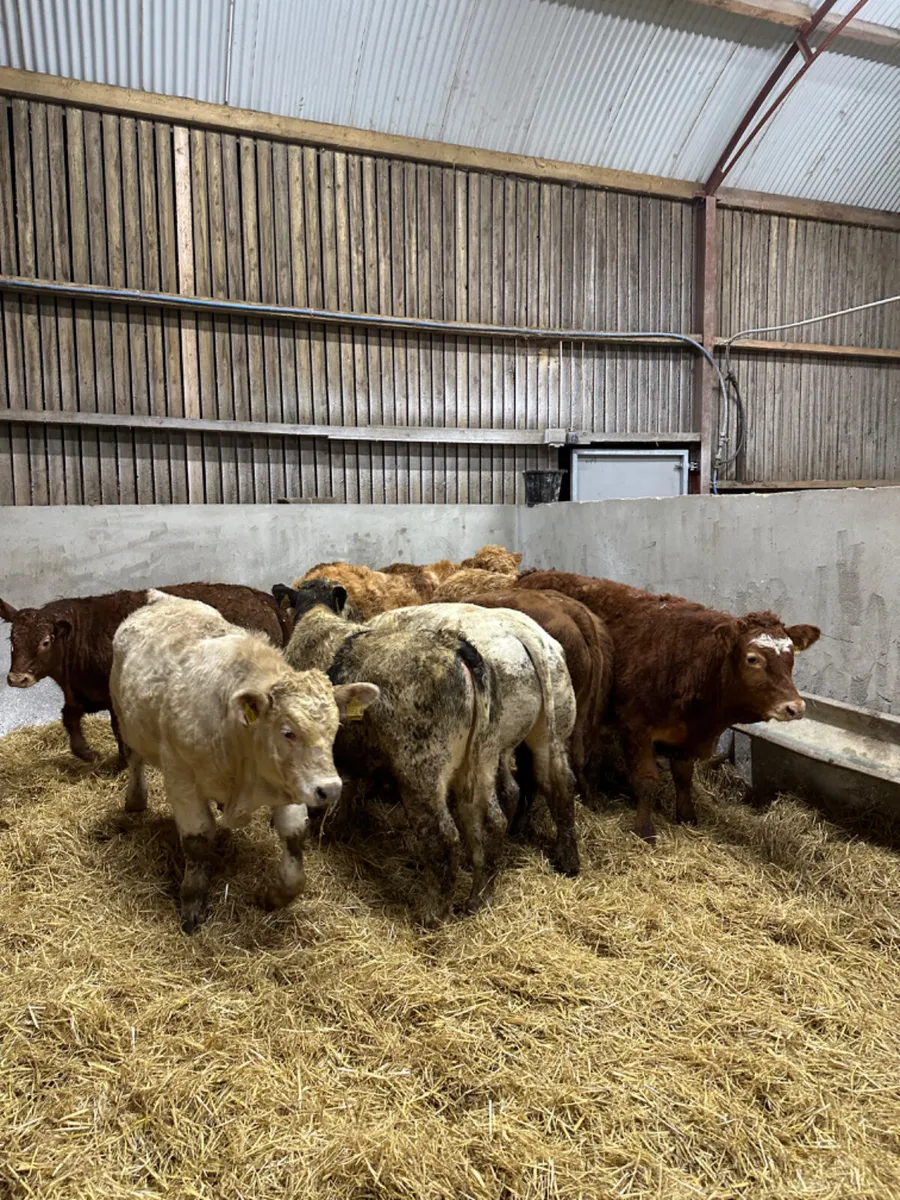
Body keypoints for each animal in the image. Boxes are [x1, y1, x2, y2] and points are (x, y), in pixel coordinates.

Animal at [1, 583, 293, 770]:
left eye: (45, 642)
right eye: (12, 640)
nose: (17, 678)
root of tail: (261, 597)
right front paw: (87, 753)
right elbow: (70, 719)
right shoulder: (80, 695)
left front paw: (122, 764)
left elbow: (118, 730)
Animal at [110, 590, 378, 933]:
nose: (329, 789)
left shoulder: (290, 784)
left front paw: (273, 896)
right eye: (288, 732)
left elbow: (294, 846)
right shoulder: (181, 778)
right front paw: (192, 903)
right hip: (124, 719)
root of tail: (162, 598)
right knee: (134, 761)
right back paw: (135, 800)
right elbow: (198, 841)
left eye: (335, 728)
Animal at [275, 579, 500, 922]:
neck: (317, 615)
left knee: (444, 837)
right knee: (488, 822)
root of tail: (455, 648)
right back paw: (477, 898)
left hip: (421, 771)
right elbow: (348, 789)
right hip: (482, 760)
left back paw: (432, 913)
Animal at [367, 601, 579, 876]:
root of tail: (527, 633)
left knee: (508, 792)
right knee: (559, 784)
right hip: (551, 729)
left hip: (491, 744)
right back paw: (568, 859)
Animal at [517, 571, 820, 842]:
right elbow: (645, 779)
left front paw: (687, 816)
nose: (794, 707)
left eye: (791, 656)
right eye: (753, 658)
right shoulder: (636, 727)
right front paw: (645, 831)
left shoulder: (686, 736)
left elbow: (683, 776)